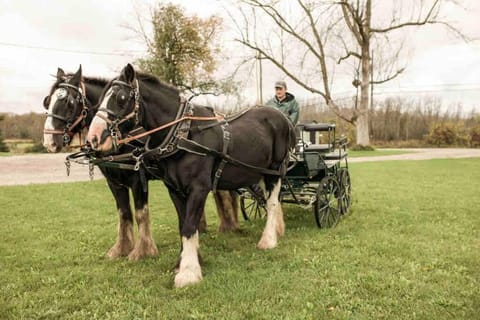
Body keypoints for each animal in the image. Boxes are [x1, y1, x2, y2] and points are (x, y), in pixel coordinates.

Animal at [43, 66, 240, 262]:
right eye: (47, 101)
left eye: (69, 101)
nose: (48, 141)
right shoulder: (114, 182)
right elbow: (124, 213)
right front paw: (121, 248)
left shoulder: (138, 178)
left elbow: (140, 213)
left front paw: (143, 250)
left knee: (222, 194)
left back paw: (227, 225)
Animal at [87, 64, 296, 288]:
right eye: (100, 99)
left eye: (121, 98)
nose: (94, 138)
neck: (184, 135)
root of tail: (282, 117)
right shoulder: (174, 189)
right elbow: (184, 224)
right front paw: (185, 262)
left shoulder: (198, 188)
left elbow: (189, 226)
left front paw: (188, 272)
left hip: (275, 170)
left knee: (272, 203)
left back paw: (268, 240)